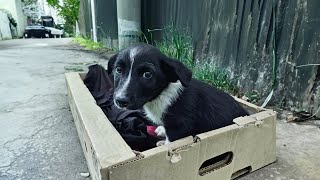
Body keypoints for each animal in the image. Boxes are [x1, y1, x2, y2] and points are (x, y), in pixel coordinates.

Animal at [109, 43, 249, 145]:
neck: (161, 94)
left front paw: (164, 144)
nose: (120, 101)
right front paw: (162, 129)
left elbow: (170, 142)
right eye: (118, 70)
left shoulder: (180, 128)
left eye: (147, 74)